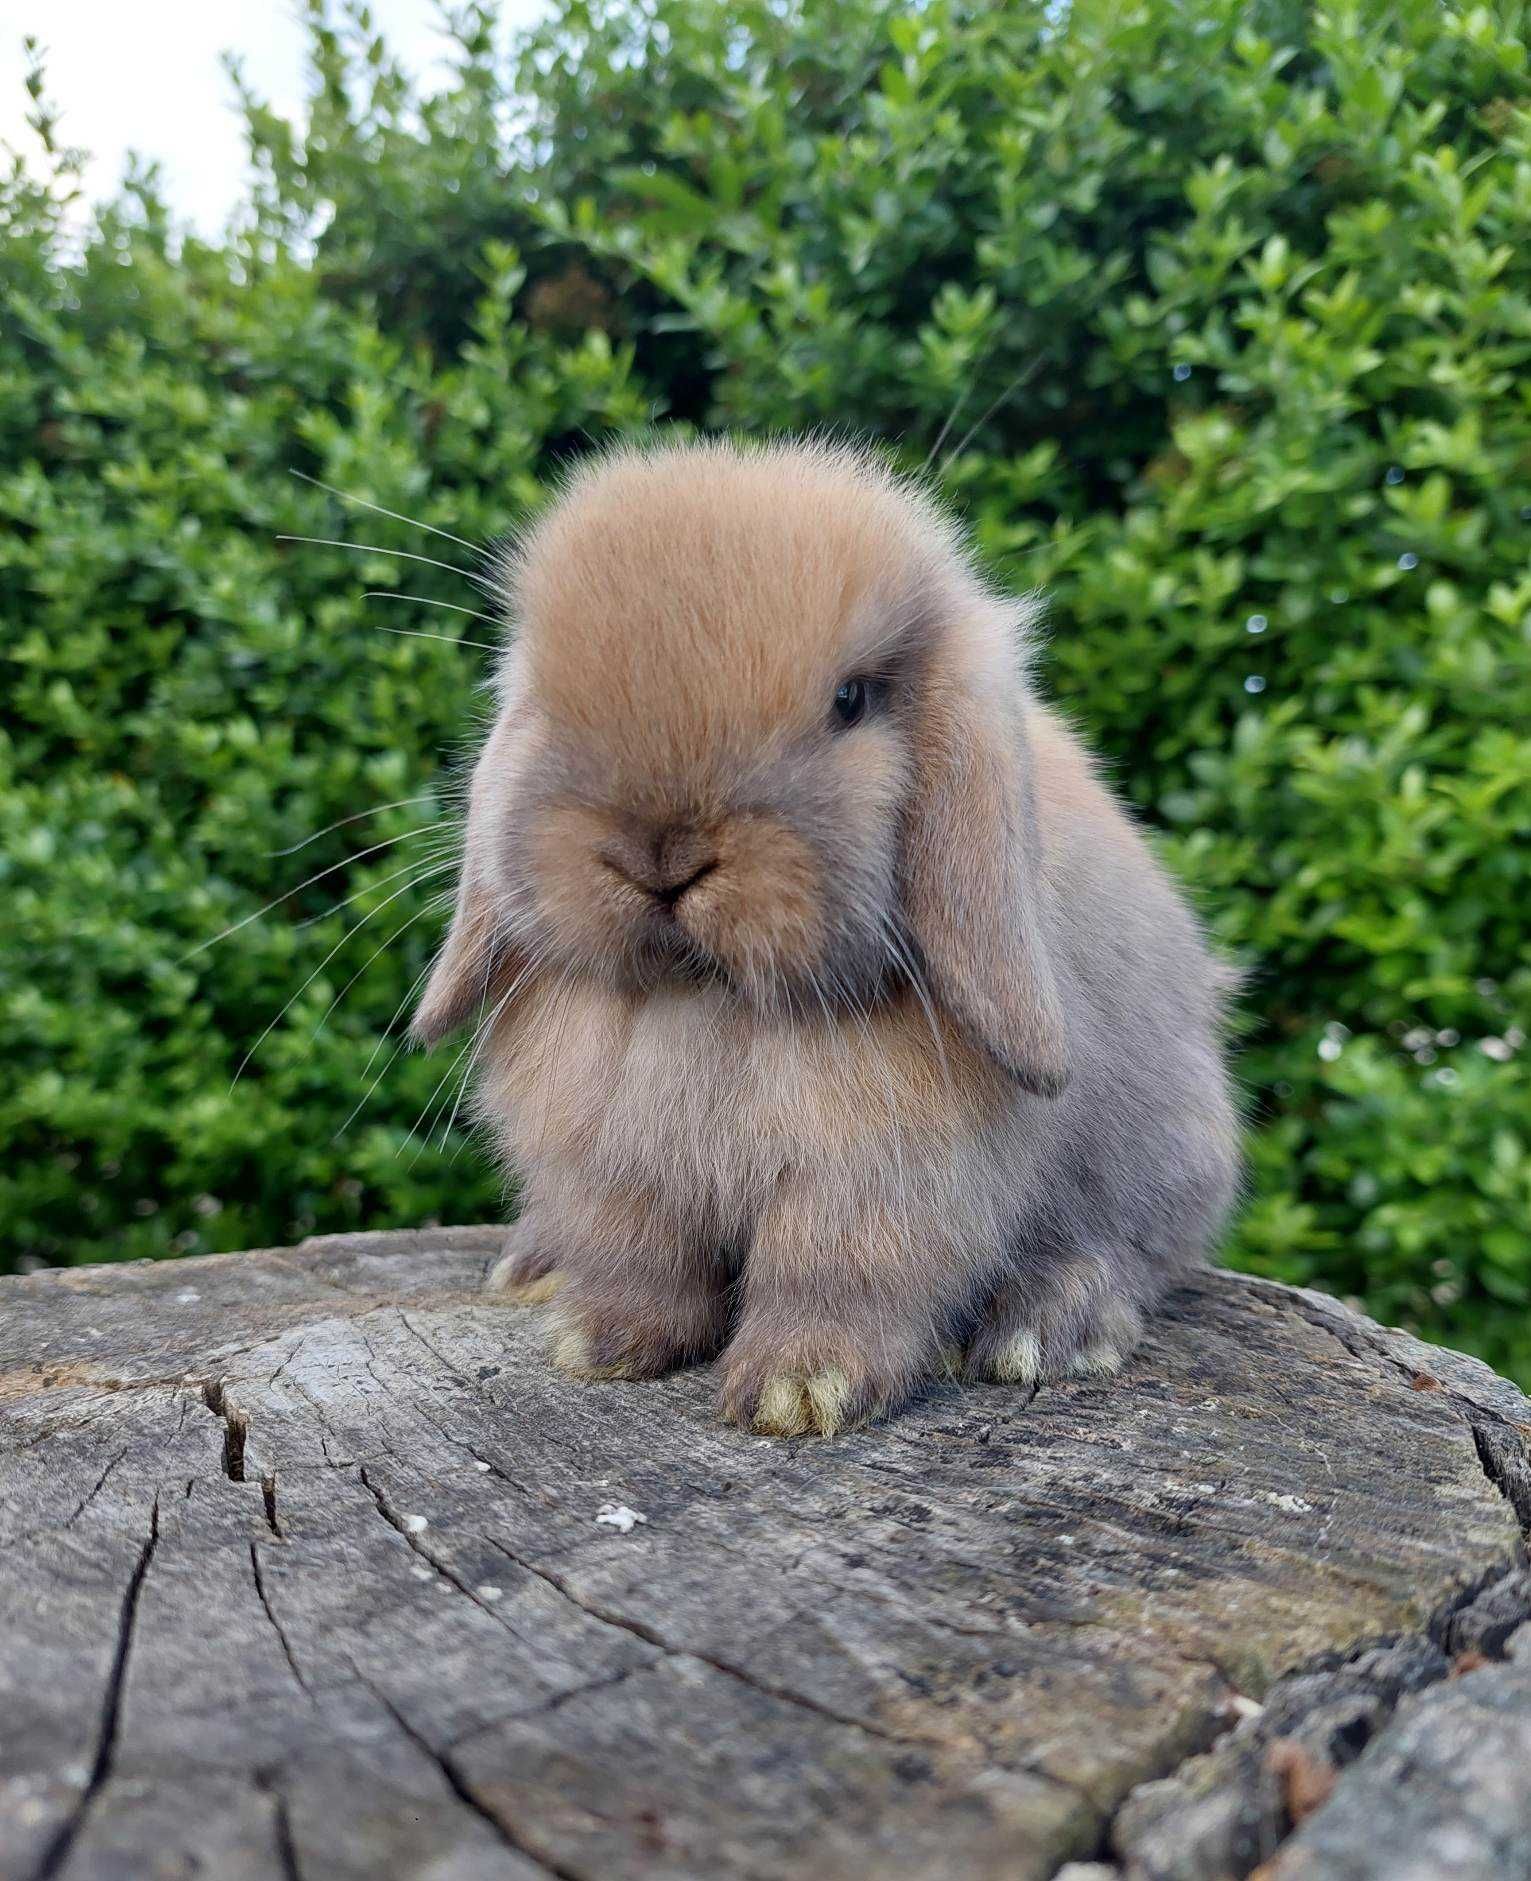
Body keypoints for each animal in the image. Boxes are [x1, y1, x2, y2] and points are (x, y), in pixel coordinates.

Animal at [410, 440, 1248, 1429]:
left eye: (850, 700)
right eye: (541, 693)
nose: (661, 852)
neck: (709, 1001)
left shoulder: (878, 1185)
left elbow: (834, 1278)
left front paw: (799, 1392)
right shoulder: (614, 1171)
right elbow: (641, 1265)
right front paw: (599, 1345)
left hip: (1163, 1155)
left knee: (1135, 1254)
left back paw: (1044, 1331)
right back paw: (531, 1266)